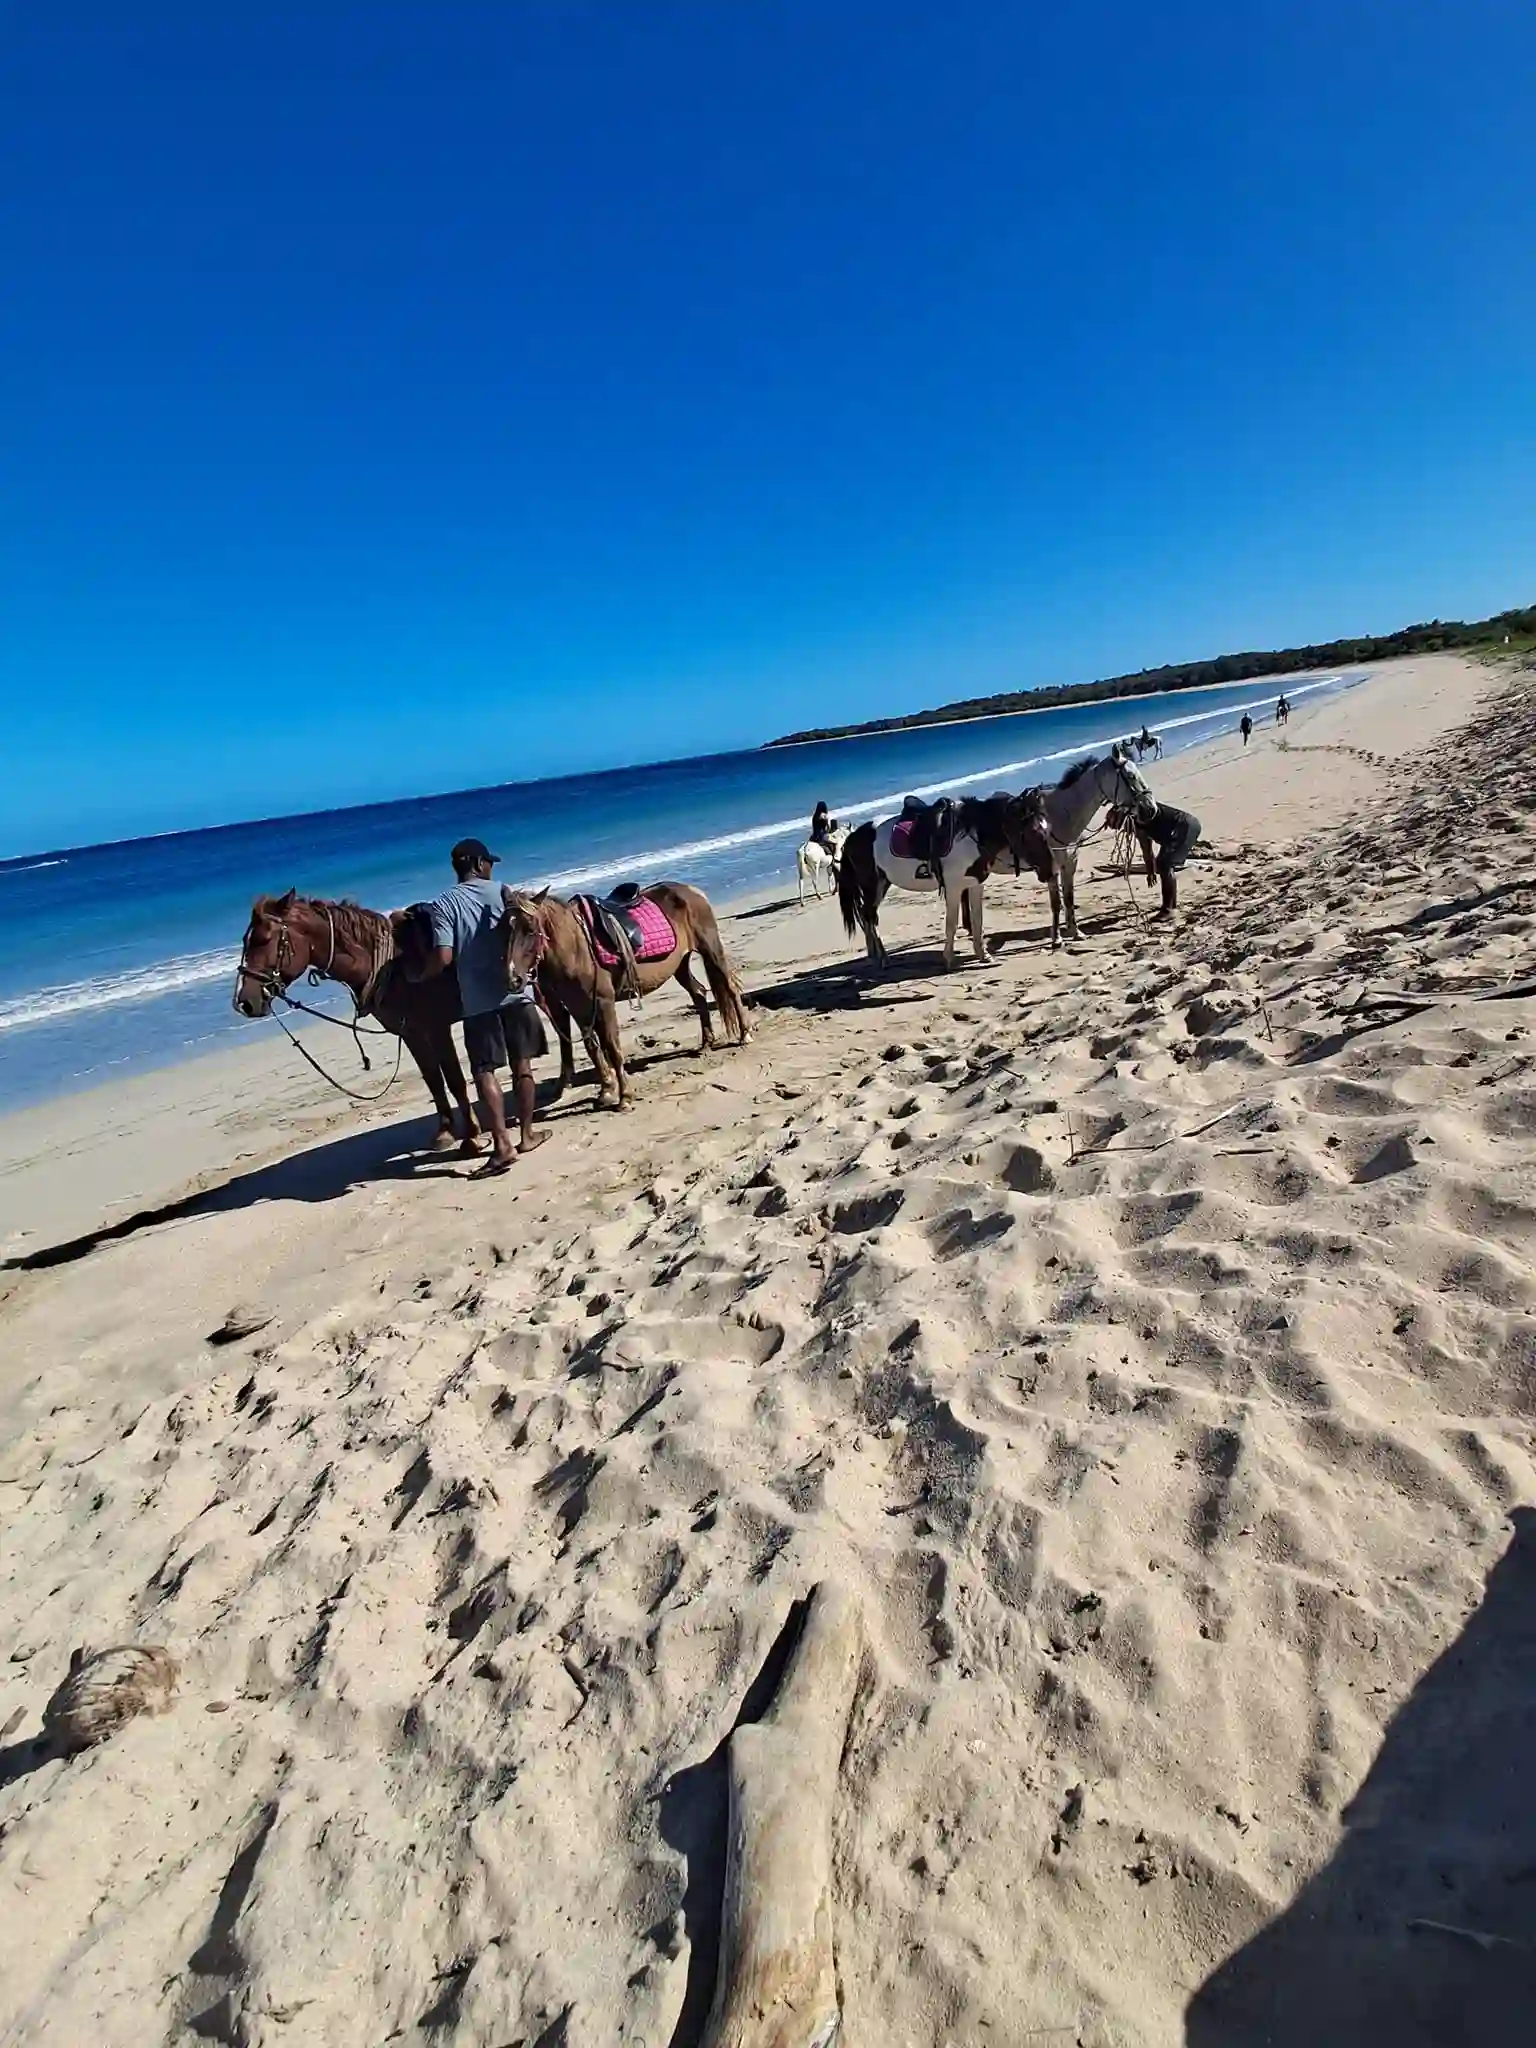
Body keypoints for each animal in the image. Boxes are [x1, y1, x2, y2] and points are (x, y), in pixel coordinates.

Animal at [234, 891, 481, 1152]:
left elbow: (454, 1080)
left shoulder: (436, 1029)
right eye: (247, 941)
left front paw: (472, 1134)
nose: (245, 1002)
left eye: (264, 939)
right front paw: (445, 1131)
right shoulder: (413, 1034)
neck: (398, 964)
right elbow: (433, 1080)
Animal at [500, 881, 751, 1110]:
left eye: (530, 929)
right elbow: (593, 1048)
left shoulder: (603, 1003)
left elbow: (612, 1047)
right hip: (680, 964)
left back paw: (745, 1034)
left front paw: (625, 1097)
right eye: (502, 930)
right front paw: (606, 1092)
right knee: (698, 993)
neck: (576, 946)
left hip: (711, 950)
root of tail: (691, 889)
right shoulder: (579, 1008)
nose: (513, 979)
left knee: (730, 987)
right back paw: (706, 1043)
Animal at [836, 792, 1041, 971]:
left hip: (882, 883)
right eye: (1031, 827)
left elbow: (977, 921)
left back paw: (875, 956)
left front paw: (984, 955)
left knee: (866, 915)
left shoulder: (975, 884)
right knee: (869, 916)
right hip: (871, 884)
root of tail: (852, 838)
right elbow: (951, 924)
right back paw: (882, 959)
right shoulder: (954, 887)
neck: (971, 834)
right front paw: (949, 960)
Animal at [1030, 750, 1151, 946]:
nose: (1151, 809)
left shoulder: (1070, 862)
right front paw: (1057, 940)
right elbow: (1056, 903)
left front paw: (1076, 932)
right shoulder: (1052, 868)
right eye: (1131, 776)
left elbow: (1068, 898)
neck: (1056, 816)